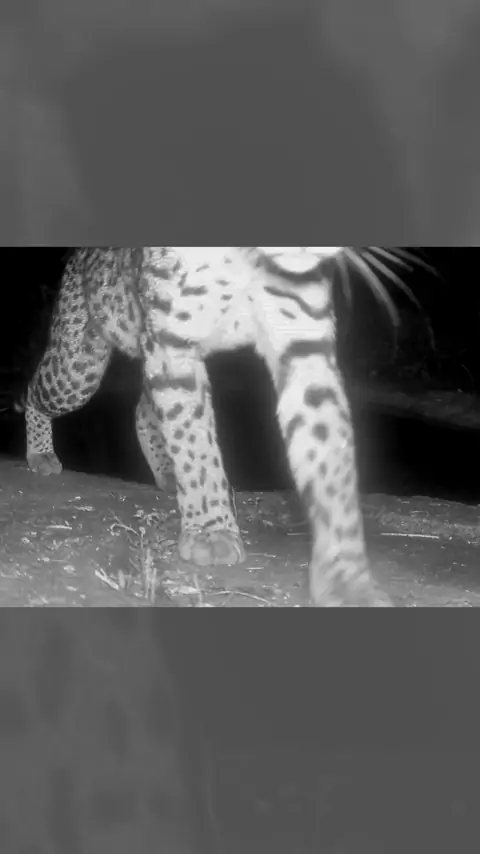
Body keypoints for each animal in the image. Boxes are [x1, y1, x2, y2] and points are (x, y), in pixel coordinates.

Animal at [23, 246, 403, 607]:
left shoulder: (304, 342)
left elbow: (330, 461)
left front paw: (345, 578)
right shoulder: (173, 344)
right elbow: (194, 442)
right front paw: (210, 531)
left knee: (143, 409)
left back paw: (167, 473)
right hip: (78, 367)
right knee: (34, 390)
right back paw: (39, 454)